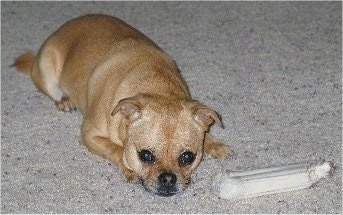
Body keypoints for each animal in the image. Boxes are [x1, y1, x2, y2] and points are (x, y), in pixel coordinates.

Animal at [12, 13, 234, 197]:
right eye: (145, 156)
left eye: (187, 157)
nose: (168, 179)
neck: (157, 87)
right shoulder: (89, 134)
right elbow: (116, 149)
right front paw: (128, 166)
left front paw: (214, 144)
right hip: (47, 68)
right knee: (52, 89)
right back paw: (63, 100)